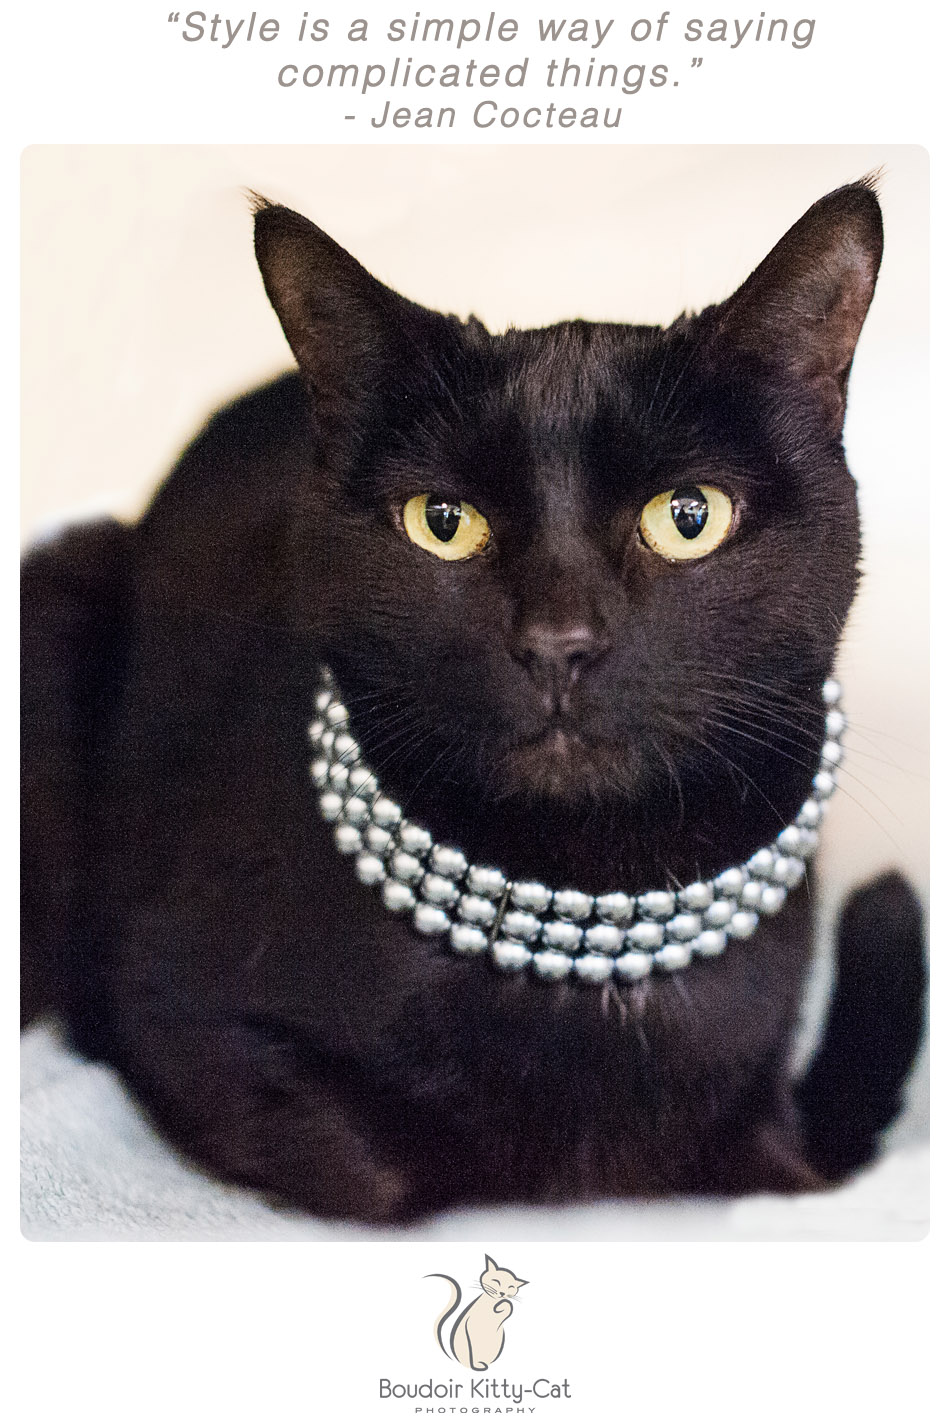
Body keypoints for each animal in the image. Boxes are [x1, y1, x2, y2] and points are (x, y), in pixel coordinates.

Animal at [22, 177, 921, 1222]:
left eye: (688, 516)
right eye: (443, 523)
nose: (557, 643)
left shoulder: (781, 1128)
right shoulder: (176, 1012)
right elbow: (384, 1172)